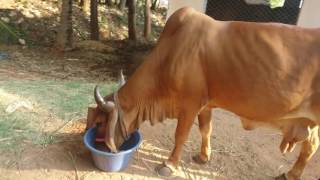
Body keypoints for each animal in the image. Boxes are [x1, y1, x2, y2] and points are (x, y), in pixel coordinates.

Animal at [86, 6, 320, 179]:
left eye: (100, 122)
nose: (101, 147)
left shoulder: (190, 103)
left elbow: (180, 135)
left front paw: (169, 164)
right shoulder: (205, 104)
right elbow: (205, 130)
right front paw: (203, 157)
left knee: (311, 147)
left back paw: (291, 174)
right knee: (310, 146)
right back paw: (291, 174)